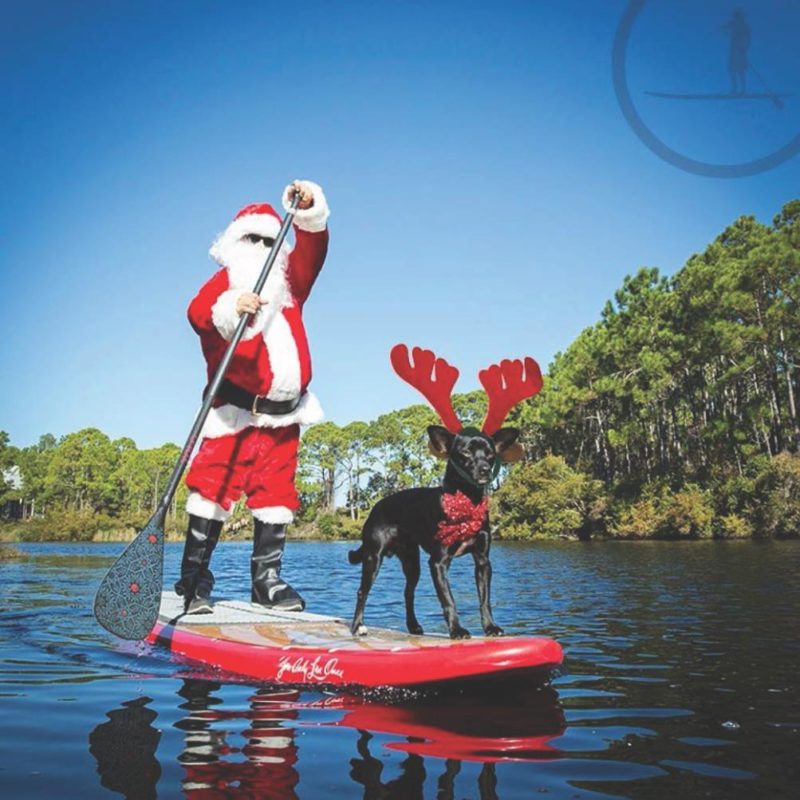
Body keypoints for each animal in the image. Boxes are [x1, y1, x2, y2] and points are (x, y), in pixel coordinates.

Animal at [348, 424, 520, 636]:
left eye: (490, 454)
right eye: (466, 452)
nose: (485, 470)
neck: (467, 503)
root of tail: (376, 507)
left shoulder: (482, 561)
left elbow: (485, 599)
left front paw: (490, 627)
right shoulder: (438, 562)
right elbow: (448, 600)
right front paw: (457, 630)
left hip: (412, 563)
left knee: (408, 593)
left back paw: (413, 626)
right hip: (373, 558)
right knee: (362, 591)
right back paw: (357, 626)